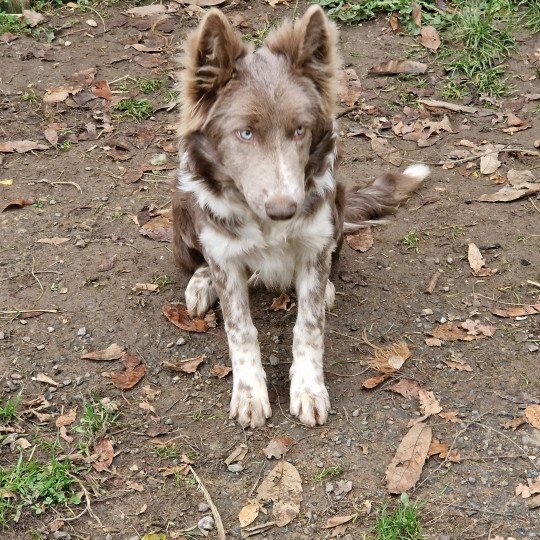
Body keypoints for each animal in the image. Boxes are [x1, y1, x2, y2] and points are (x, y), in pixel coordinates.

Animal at [171, 3, 428, 426]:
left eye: (299, 130)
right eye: (245, 133)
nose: (283, 210)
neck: (265, 223)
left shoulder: (313, 243)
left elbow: (309, 326)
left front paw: (308, 390)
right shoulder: (226, 258)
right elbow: (240, 330)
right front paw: (249, 394)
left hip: (336, 204)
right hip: (182, 209)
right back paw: (201, 281)